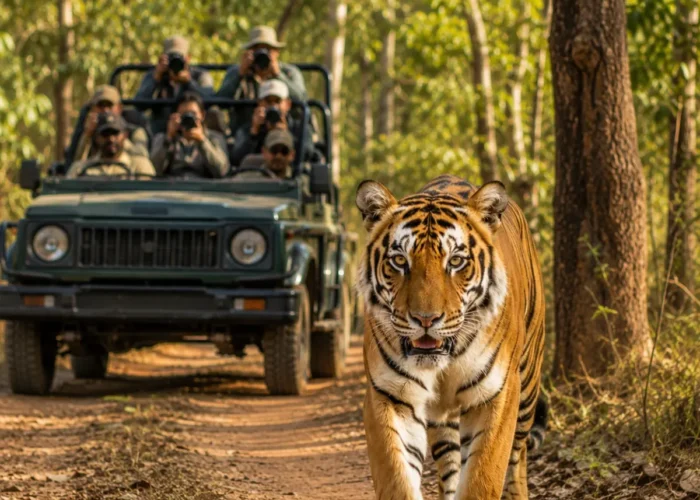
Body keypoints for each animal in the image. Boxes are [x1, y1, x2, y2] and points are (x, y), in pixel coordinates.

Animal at [355, 175, 547, 500]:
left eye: (456, 261)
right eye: (399, 260)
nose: (425, 319)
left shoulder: (496, 395)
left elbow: (484, 476)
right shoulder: (391, 395)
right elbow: (397, 478)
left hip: (528, 387)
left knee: (518, 456)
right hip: (442, 421)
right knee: (450, 464)